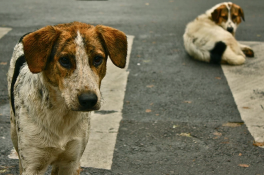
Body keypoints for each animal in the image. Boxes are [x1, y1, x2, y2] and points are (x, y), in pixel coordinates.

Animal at [7, 22, 127, 175]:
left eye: (97, 59)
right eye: (64, 60)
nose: (89, 100)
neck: (61, 114)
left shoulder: (71, 162)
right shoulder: (33, 165)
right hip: (13, 131)